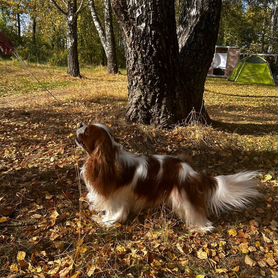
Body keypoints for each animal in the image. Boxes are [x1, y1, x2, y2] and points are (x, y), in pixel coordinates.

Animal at [75, 122, 258, 231]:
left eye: (87, 131)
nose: (80, 124)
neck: (111, 158)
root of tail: (192, 171)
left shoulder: (118, 199)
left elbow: (116, 214)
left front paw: (106, 222)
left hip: (184, 197)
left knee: (196, 212)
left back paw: (201, 228)